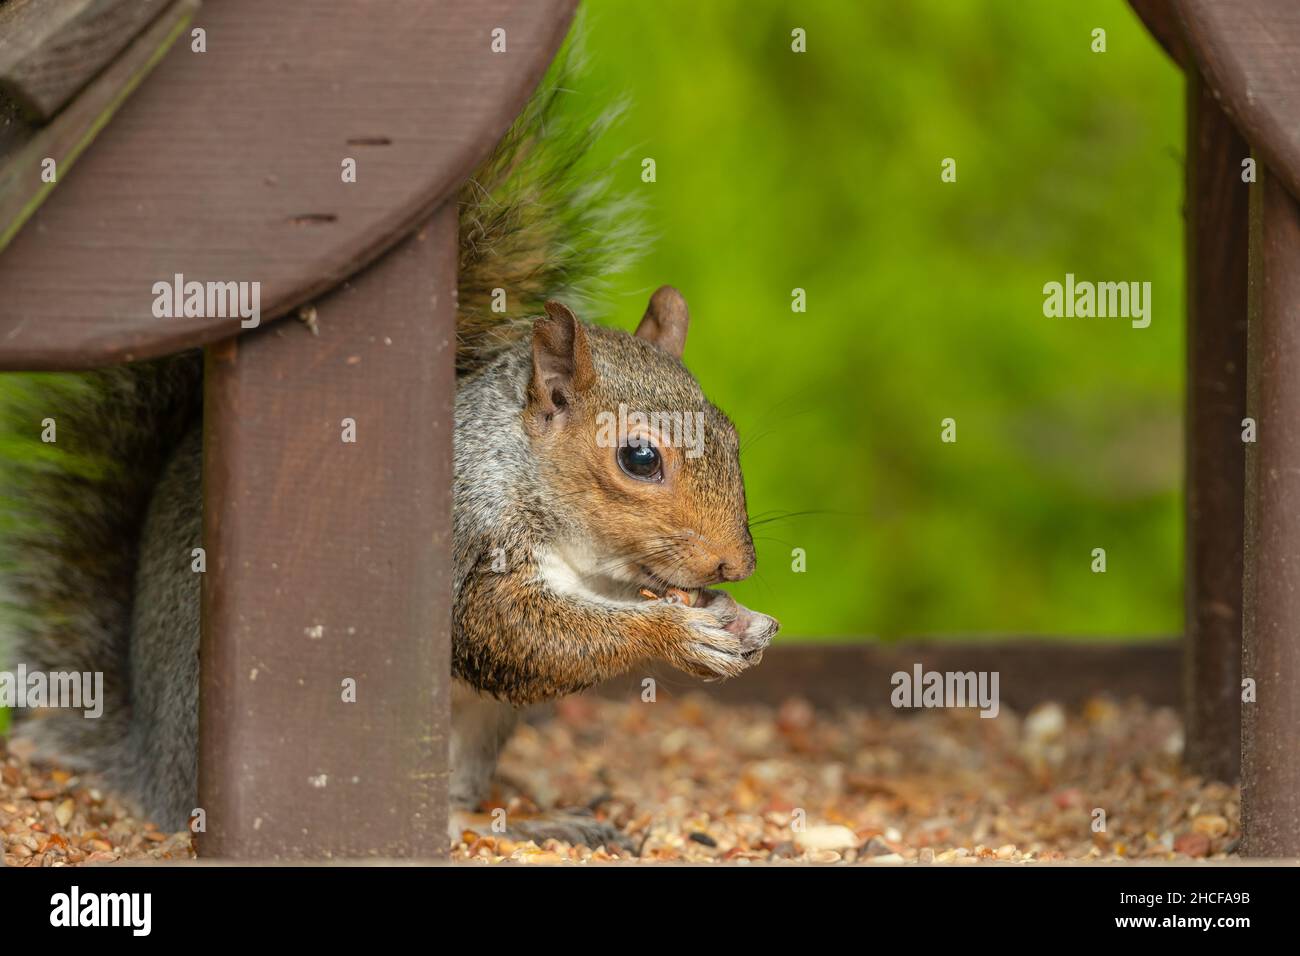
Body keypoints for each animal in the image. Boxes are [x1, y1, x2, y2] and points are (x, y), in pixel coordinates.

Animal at [0, 33, 769, 848]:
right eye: (640, 457)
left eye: (731, 434)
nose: (737, 563)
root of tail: (155, 770)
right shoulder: (473, 540)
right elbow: (514, 634)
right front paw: (681, 634)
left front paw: (731, 616)